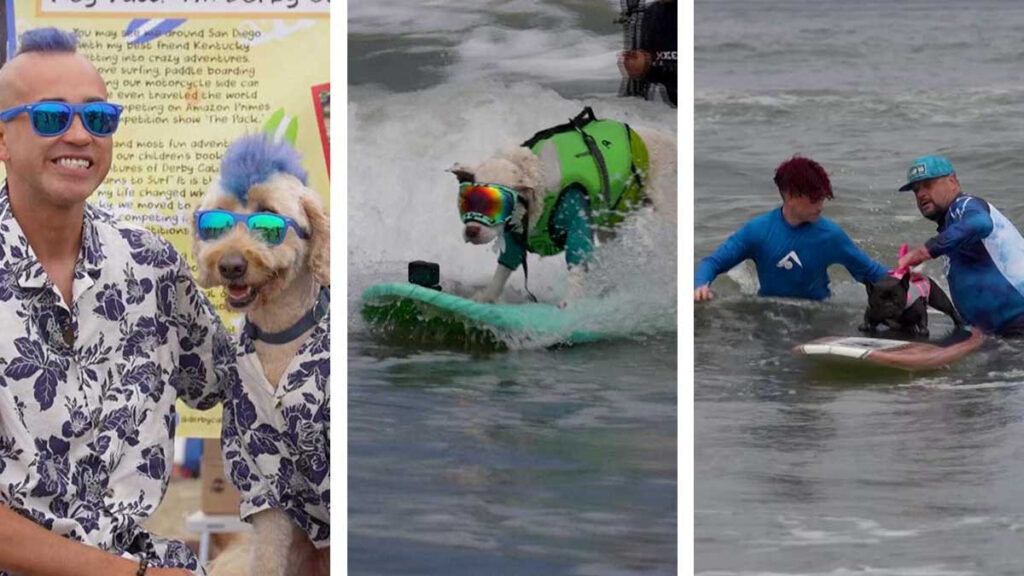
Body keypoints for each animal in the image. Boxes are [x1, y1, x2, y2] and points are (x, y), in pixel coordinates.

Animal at [450, 107, 675, 305]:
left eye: (495, 204)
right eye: (468, 202)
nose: (471, 231)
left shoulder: (577, 222)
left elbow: (576, 261)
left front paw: (571, 301)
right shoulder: (516, 234)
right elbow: (504, 267)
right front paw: (488, 295)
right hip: (610, 225)